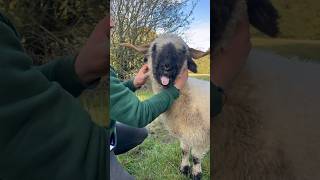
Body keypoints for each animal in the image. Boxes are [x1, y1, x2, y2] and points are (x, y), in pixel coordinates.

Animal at [120, 33, 210, 179]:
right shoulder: (185, 132)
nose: (167, 67)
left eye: (183, 51)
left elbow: (196, 157)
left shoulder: (201, 135)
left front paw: (196, 174)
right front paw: (184, 169)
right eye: (153, 48)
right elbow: (184, 150)